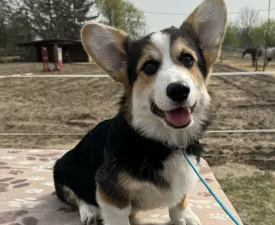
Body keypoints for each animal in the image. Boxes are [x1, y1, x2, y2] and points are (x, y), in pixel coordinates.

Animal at [54, 0, 229, 224]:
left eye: (188, 59)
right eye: (150, 66)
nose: (179, 90)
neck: (165, 141)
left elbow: (179, 200)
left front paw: (183, 216)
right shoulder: (111, 194)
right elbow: (117, 216)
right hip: (63, 169)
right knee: (76, 195)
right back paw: (89, 211)